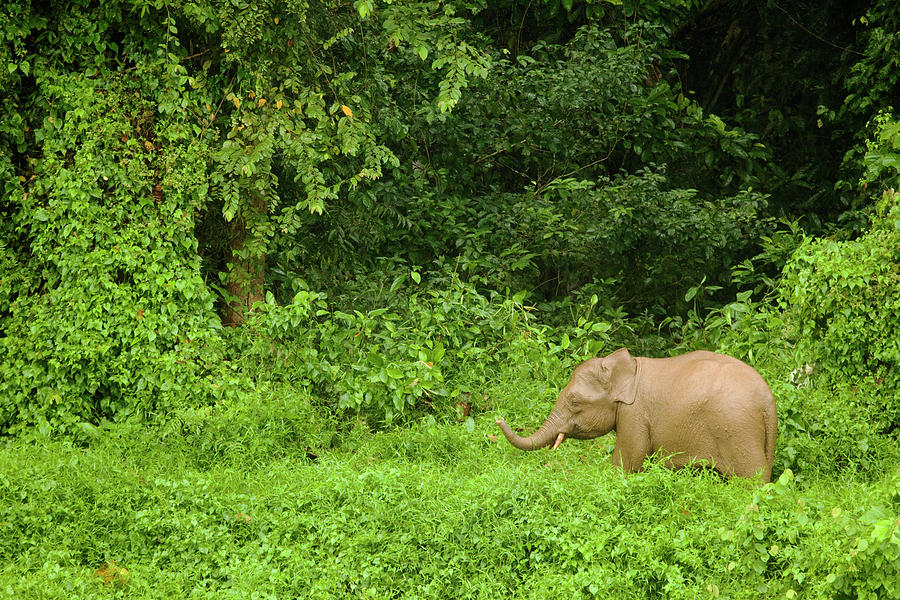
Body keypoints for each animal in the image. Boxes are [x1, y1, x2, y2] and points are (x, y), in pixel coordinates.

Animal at [496, 350, 776, 480]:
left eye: (574, 402)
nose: (499, 418)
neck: (626, 367)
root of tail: (768, 402)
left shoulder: (634, 415)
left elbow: (628, 460)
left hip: (737, 431)